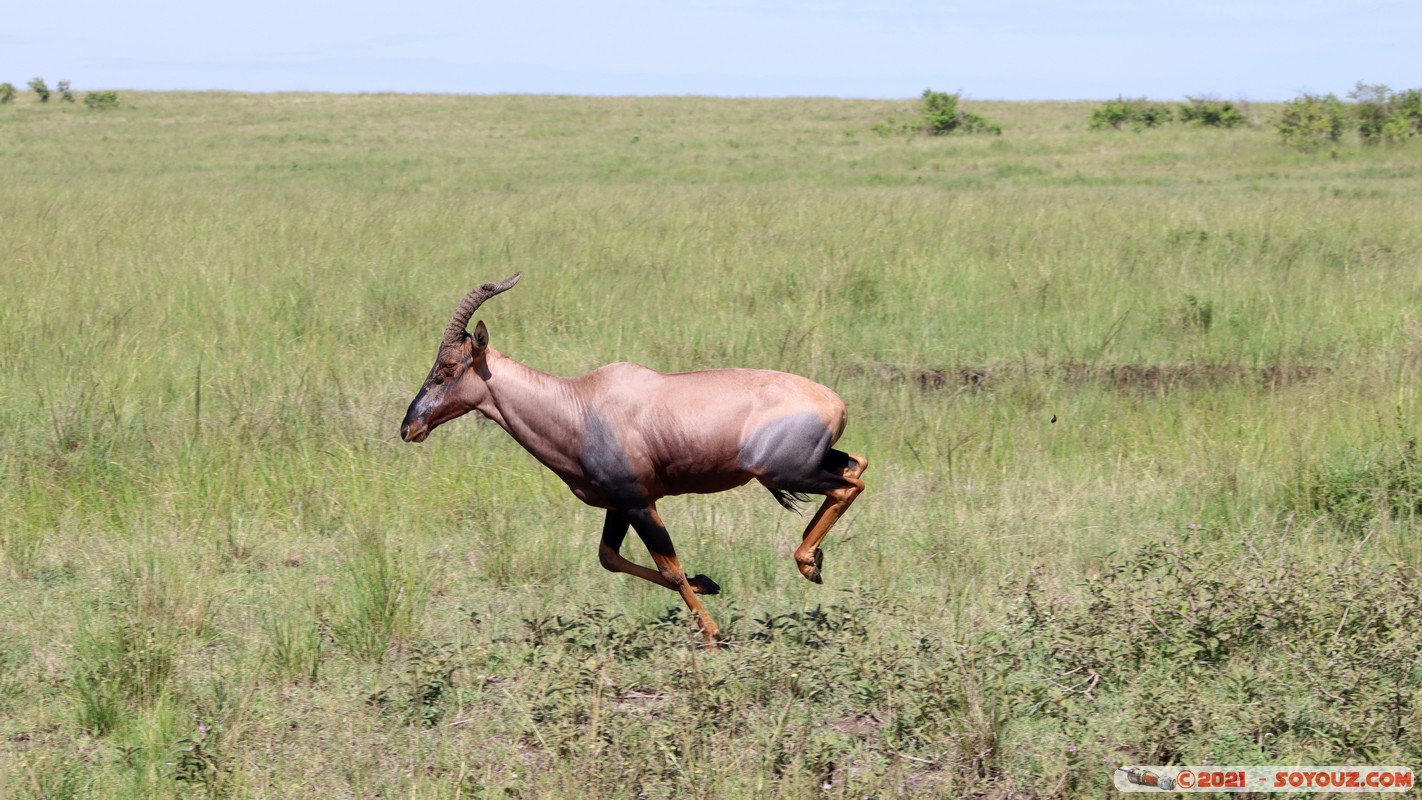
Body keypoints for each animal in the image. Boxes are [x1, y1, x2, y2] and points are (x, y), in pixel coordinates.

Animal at [401, 274, 864, 645]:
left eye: (447, 366)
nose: (409, 427)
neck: (580, 404)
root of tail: (836, 403)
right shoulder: (618, 504)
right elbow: (611, 558)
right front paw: (708, 582)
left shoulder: (639, 502)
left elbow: (670, 568)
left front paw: (713, 635)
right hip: (810, 464)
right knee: (856, 464)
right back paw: (813, 562)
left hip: (784, 472)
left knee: (849, 484)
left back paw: (808, 564)